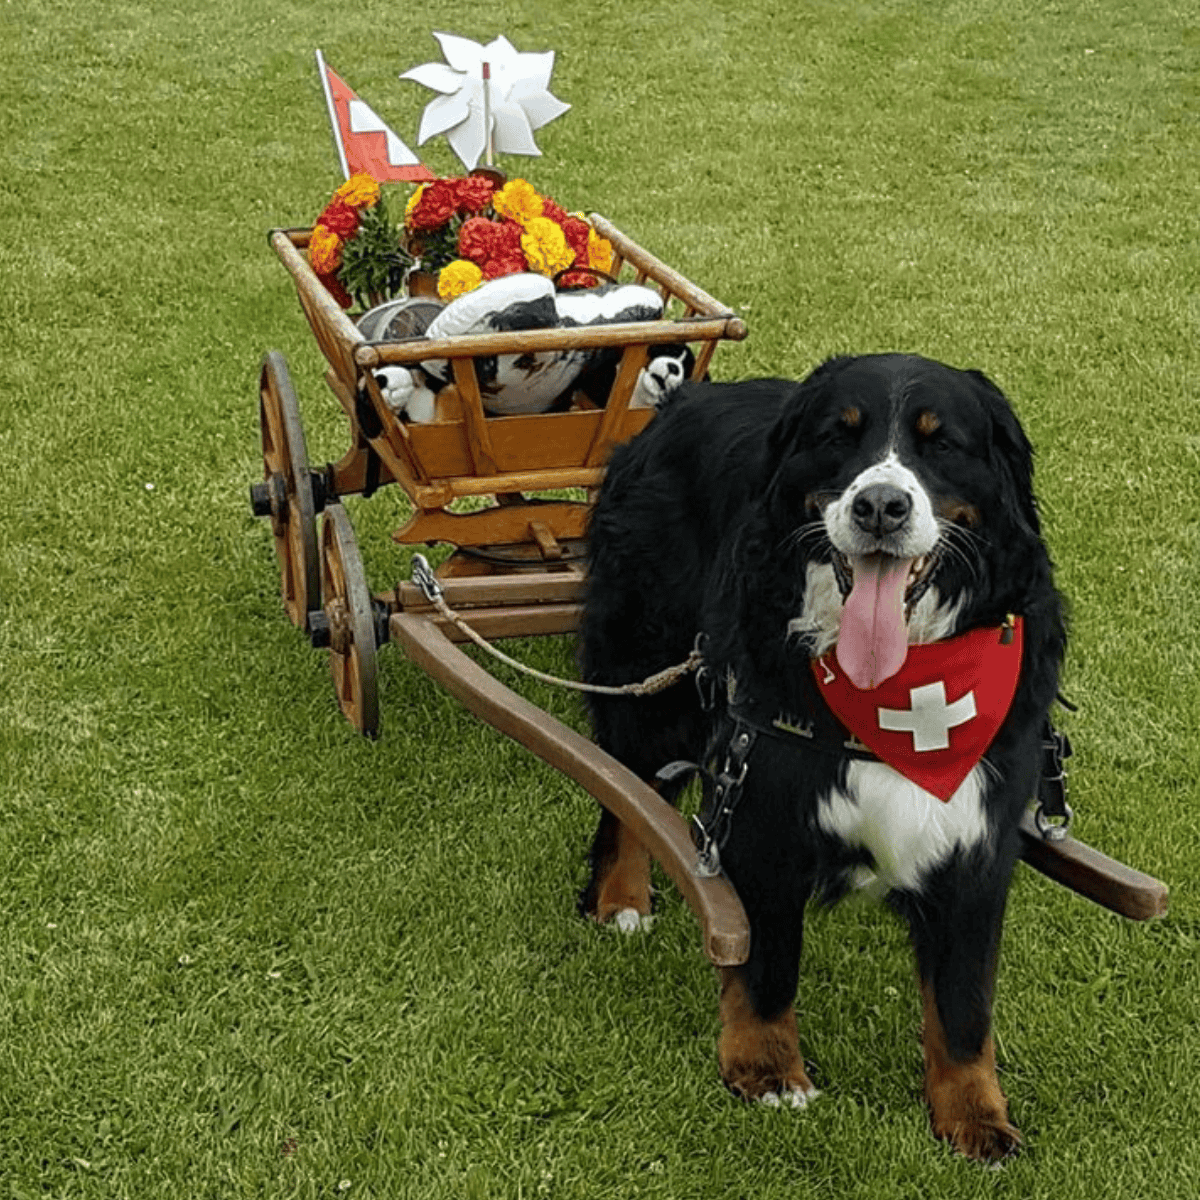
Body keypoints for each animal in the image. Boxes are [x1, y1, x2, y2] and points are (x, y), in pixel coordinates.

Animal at [576, 350, 1065, 1156]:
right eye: (840, 435)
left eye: (941, 441)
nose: (880, 507)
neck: (899, 686)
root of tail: (682, 398)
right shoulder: (763, 803)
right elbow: (769, 964)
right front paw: (768, 1071)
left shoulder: (977, 836)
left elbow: (964, 1005)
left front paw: (974, 1118)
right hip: (648, 679)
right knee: (625, 787)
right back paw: (620, 900)